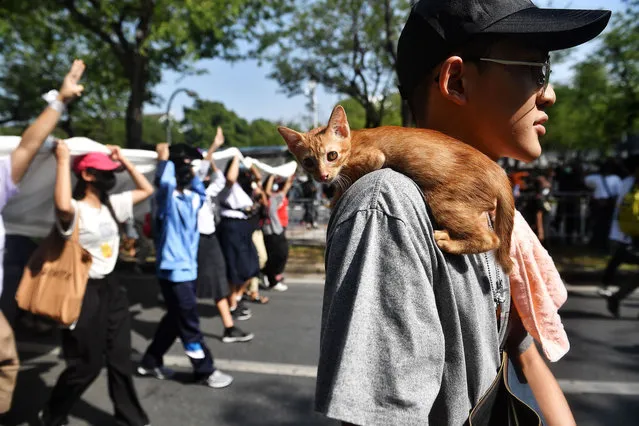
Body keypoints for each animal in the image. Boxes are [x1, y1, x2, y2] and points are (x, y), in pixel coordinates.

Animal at [278, 103, 516, 272]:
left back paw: (449, 243)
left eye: (332, 155)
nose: (322, 176)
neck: (353, 140)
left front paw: (335, 197)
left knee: (492, 239)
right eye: (308, 162)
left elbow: (349, 178)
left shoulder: (375, 158)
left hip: (444, 200)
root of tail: (500, 173)